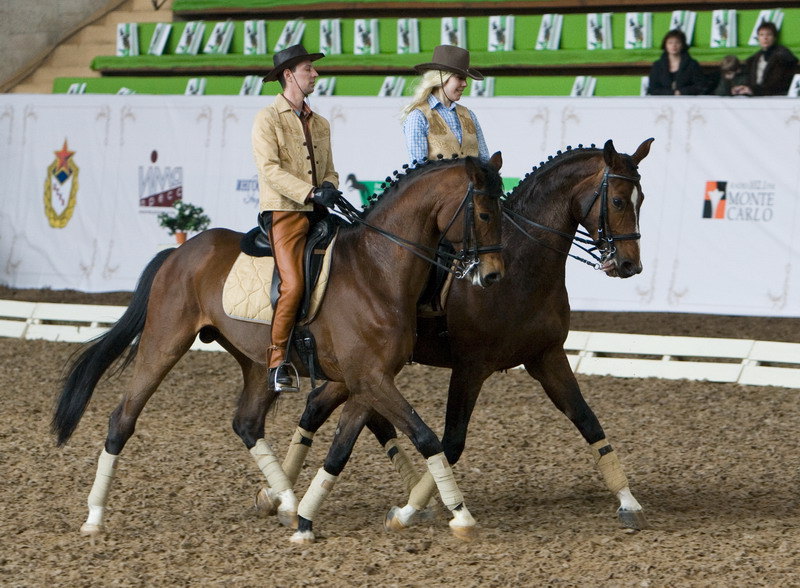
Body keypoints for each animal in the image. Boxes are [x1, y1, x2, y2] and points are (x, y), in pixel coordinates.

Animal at [51, 153, 506, 544]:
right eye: (484, 214)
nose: (493, 276)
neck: (377, 269)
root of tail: (179, 252)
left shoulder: (368, 380)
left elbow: (342, 448)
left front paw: (306, 520)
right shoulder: (370, 378)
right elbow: (424, 435)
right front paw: (461, 516)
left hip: (257, 362)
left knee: (247, 423)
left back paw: (286, 500)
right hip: (164, 343)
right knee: (122, 418)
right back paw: (94, 517)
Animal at [268, 140, 656, 536]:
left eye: (641, 199)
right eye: (618, 200)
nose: (630, 265)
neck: (522, 268)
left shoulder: (546, 356)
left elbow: (587, 420)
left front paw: (629, 503)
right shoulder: (471, 367)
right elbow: (451, 441)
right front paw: (414, 510)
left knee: (319, 405)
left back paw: (278, 498)